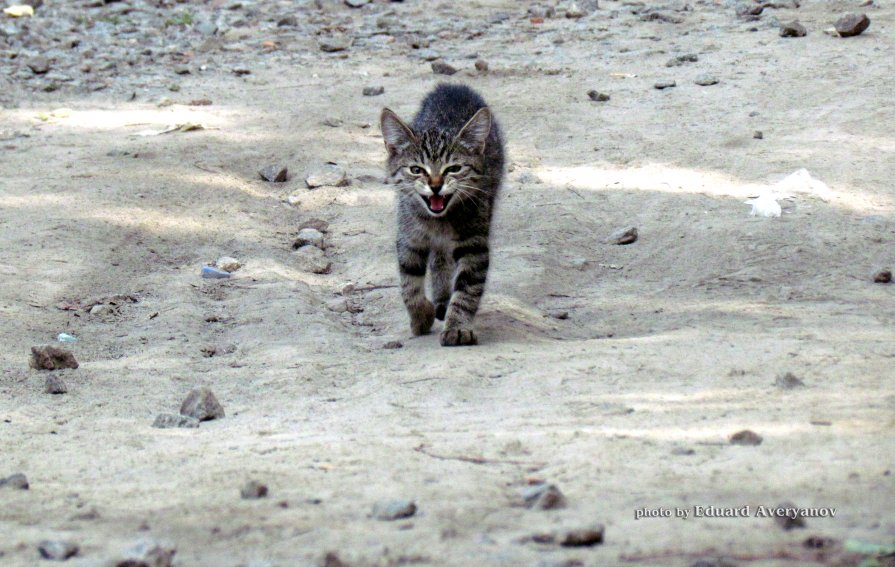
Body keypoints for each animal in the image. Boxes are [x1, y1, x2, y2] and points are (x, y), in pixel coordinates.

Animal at [378, 83, 504, 346]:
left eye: (453, 168)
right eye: (416, 170)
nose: (436, 185)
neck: (438, 222)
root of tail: (452, 86)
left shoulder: (474, 243)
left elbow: (467, 289)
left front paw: (458, 327)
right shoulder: (409, 237)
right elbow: (408, 284)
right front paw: (420, 318)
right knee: (439, 259)